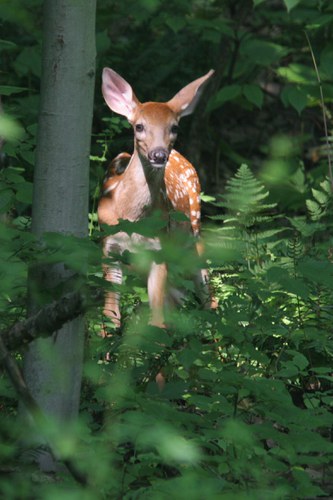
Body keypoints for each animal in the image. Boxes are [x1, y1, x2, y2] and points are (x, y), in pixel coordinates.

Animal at [97, 67, 214, 336]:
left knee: (207, 294)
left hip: (194, 232)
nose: (158, 154)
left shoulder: (159, 248)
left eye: (174, 128)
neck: (131, 216)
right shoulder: (109, 246)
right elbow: (110, 315)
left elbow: (157, 320)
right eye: (139, 126)